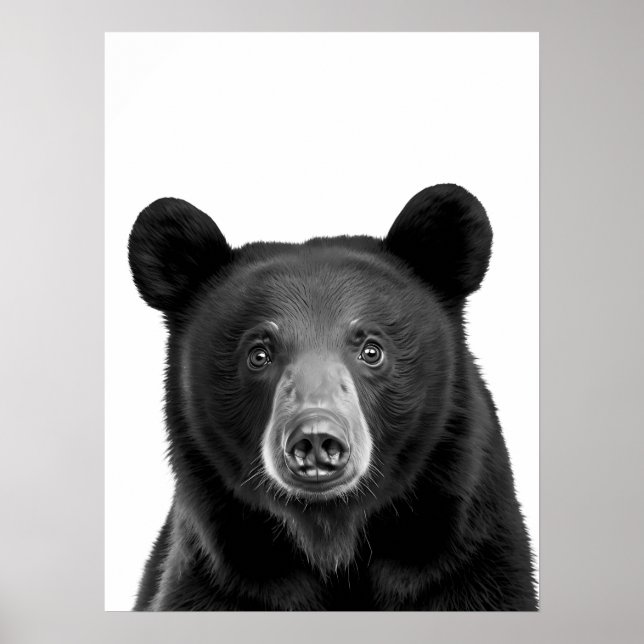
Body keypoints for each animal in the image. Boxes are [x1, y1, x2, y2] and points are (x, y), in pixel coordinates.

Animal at [128, 183, 537, 611]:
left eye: (372, 350)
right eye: (259, 354)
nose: (315, 438)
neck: (331, 538)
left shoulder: (466, 567)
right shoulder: (221, 582)